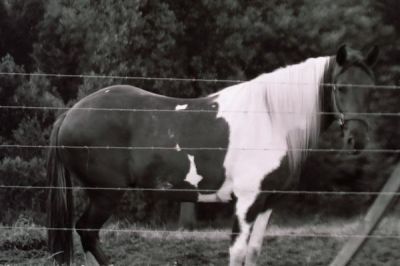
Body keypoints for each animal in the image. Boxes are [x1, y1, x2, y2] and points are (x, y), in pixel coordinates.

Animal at [46, 44, 378, 264]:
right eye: (340, 88)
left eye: (371, 89)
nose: (357, 140)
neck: (271, 119)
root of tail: (71, 114)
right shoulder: (246, 202)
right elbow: (237, 251)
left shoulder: (267, 202)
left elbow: (253, 251)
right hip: (105, 193)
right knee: (88, 232)